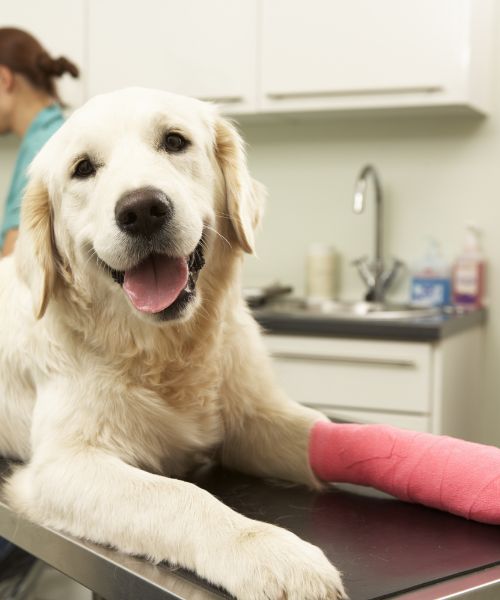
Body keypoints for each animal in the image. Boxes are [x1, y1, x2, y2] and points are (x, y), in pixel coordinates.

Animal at [0, 89, 344, 600]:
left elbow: (319, 431)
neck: (164, 350)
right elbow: (179, 495)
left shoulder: (252, 419)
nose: (142, 209)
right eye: (83, 168)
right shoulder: (62, 465)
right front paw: (273, 554)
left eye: (175, 141)